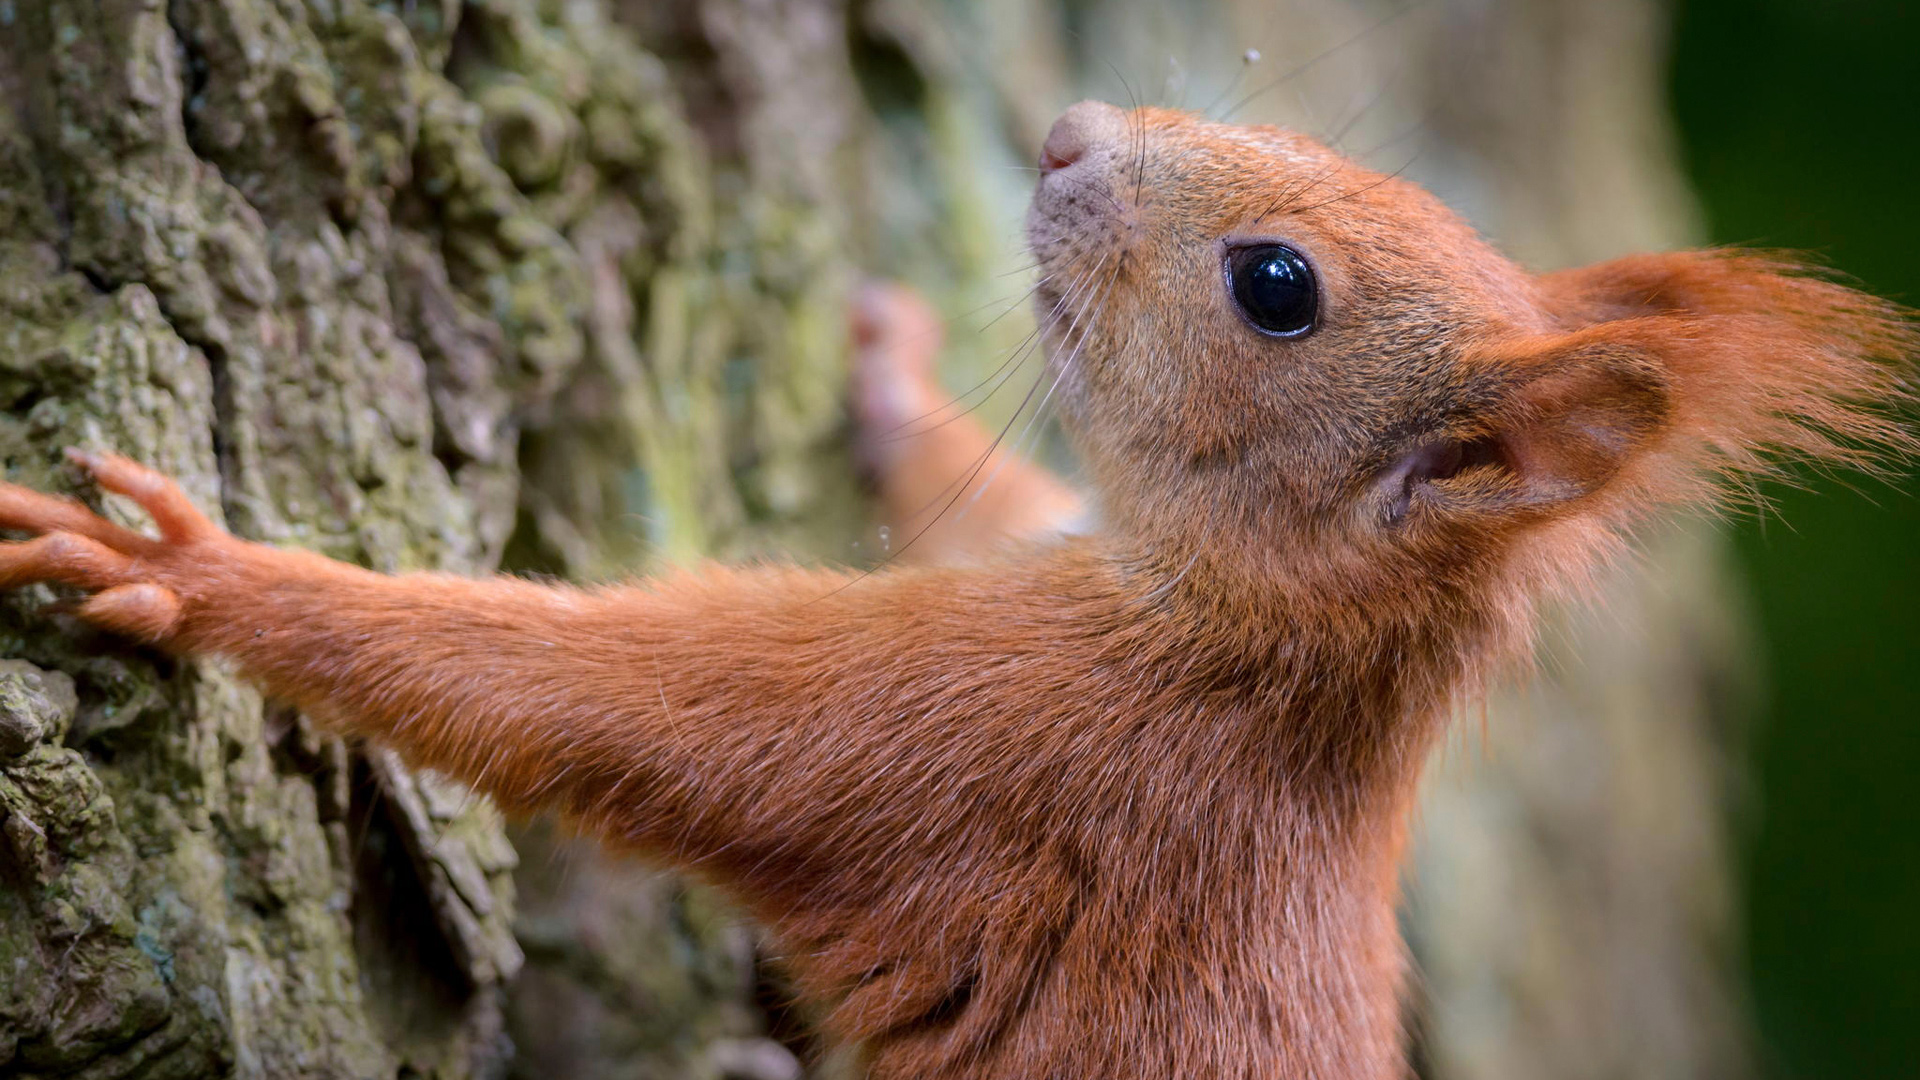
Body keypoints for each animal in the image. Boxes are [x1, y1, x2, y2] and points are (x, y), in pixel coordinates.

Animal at [0, 102, 1912, 1076]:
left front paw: (198, 571)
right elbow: (1001, 490)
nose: (1063, 128)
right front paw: (893, 378)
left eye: (1277, 285)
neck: (1254, 641)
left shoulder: (995, 737)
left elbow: (614, 705)